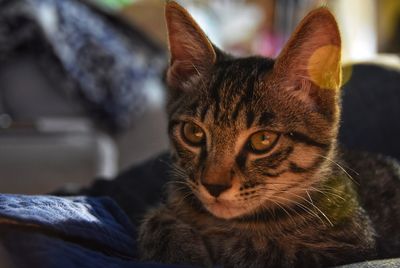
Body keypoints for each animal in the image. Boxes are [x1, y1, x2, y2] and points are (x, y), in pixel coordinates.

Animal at [138, 1, 400, 266]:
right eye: (193, 133)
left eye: (262, 140)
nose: (213, 186)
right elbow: (154, 221)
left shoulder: (348, 244)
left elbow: (254, 249)